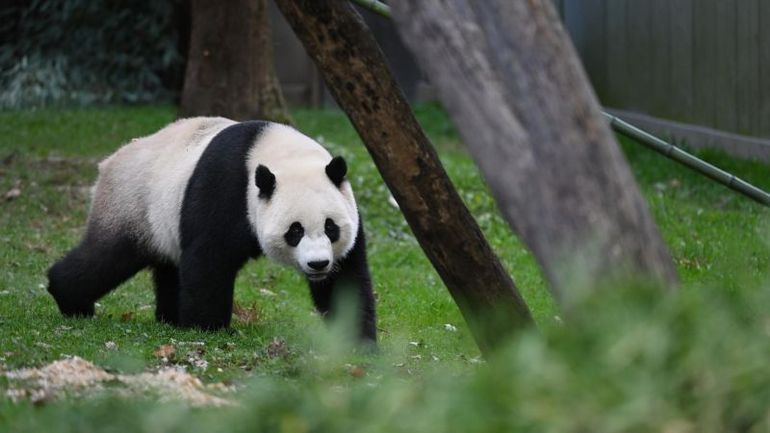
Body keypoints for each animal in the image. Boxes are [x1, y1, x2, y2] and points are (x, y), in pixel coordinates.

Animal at [47, 118, 376, 343]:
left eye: (331, 227)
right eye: (294, 231)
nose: (318, 264)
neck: (281, 155)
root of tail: (109, 162)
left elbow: (345, 279)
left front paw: (357, 340)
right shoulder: (228, 188)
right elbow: (209, 258)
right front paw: (209, 328)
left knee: (170, 269)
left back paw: (170, 318)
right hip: (132, 204)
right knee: (108, 256)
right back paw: (70, 299)